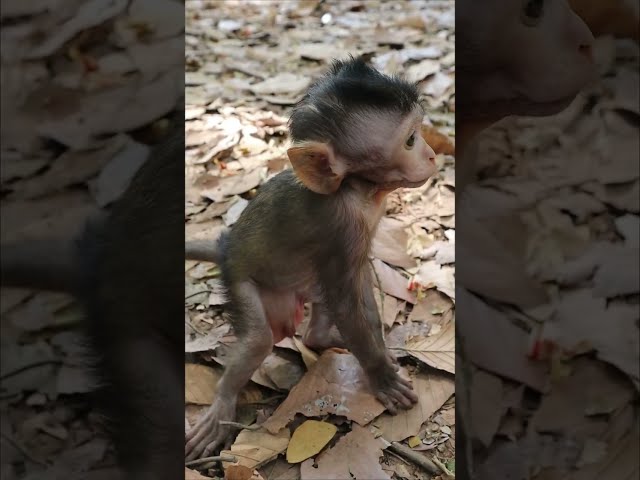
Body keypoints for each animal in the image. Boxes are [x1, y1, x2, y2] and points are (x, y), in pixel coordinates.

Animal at [182, 57, 438, 462]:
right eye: (410, 139)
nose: (432, 154)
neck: (356, 189)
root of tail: (225, 247)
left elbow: (358, 287)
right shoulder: (342, 225)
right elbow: (347, 300)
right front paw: (381, 375)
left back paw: (321, 337)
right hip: (239, 280)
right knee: (259, 339)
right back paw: (222, 404)